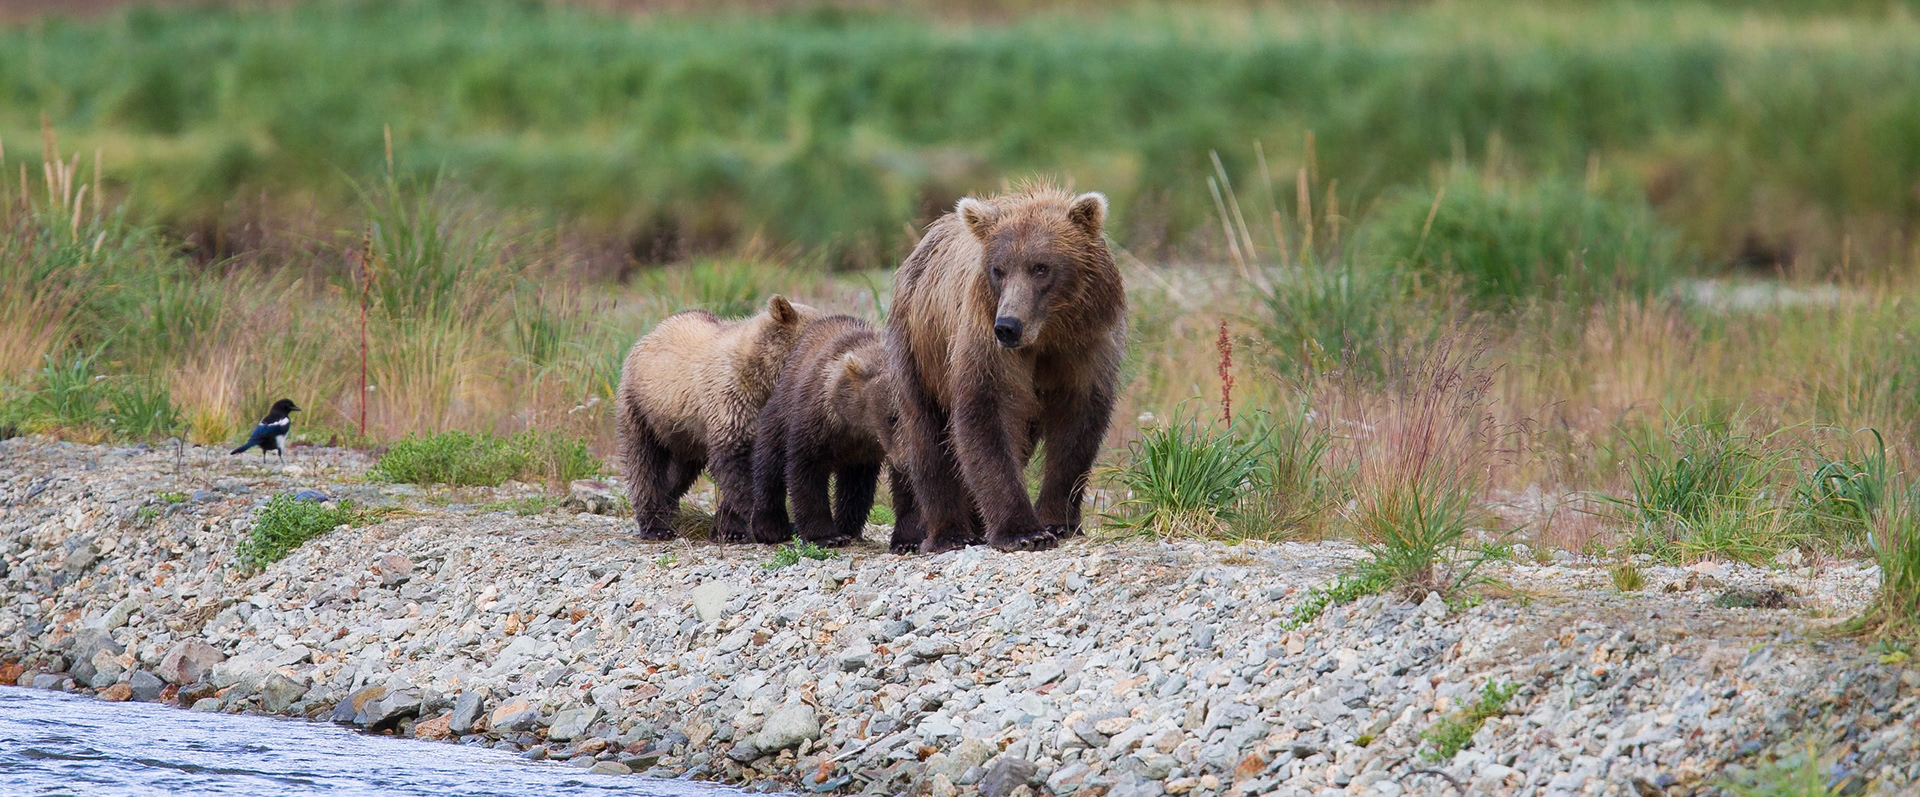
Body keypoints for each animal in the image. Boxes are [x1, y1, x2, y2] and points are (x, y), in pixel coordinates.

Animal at [615, 295, 822, 542]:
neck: (763, 379)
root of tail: (652, 332)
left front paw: (729, 529)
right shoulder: (732, 403)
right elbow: (736, 466)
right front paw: (771, 525)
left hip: (685, 433)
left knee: (679, 471)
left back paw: (670, 506)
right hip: (642, 408)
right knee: (644, 463)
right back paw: (656, 526)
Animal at [747, 315, 921, 550]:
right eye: (892, 417)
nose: (906, 462)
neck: (860, 426)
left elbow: (910, 488)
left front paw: (907, 541)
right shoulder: (818, 421)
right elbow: (806, 471)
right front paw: (826, 536)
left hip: (858, 459)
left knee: (855, 485)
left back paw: (848, 527)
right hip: (781, 409)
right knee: (769, 462)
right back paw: (770, 527)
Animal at [885, 184, 1126, 553]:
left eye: (1041, 267)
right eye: (999, 269)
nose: (1008, 326)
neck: (1047, 334)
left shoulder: (1086, 346)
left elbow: (1077, 427)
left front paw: (1058, 521)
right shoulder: (986, 340)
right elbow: (987, 414)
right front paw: (1023, 531)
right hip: (918, 346)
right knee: (925, 435)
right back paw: (944, 532)